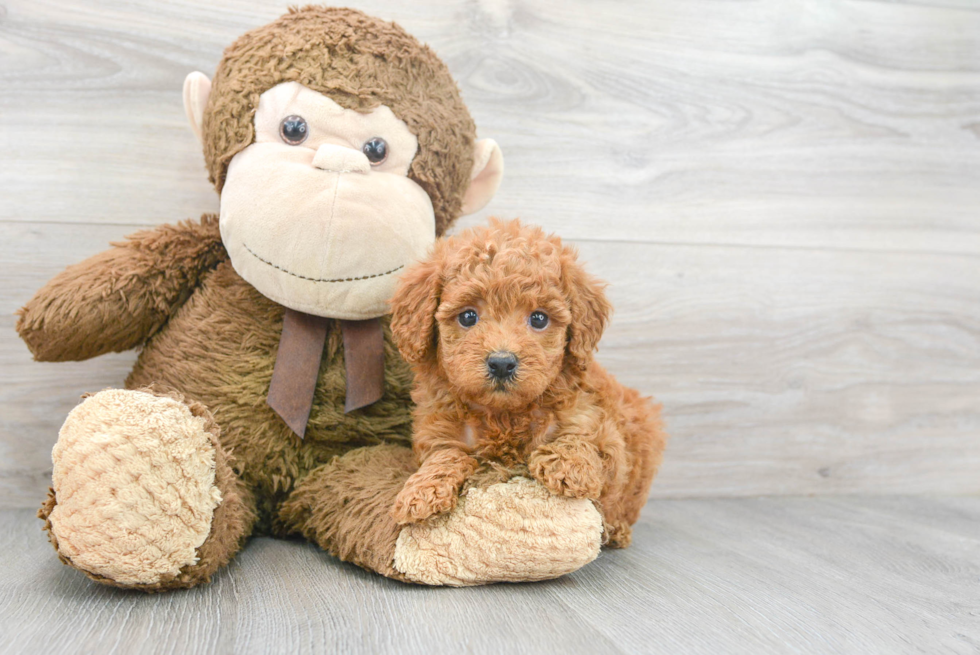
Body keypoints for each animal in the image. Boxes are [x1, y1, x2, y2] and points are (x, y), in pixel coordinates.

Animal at [388, 220, 668, 548]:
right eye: (468, 316)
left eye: (539, 319)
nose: (501, 363)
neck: (504, 415)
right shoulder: (438, 432)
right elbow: (445, 455)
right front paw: (421, 491)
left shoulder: (601, 427)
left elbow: (583, 439)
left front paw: (568, 465)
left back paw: (618, 531)